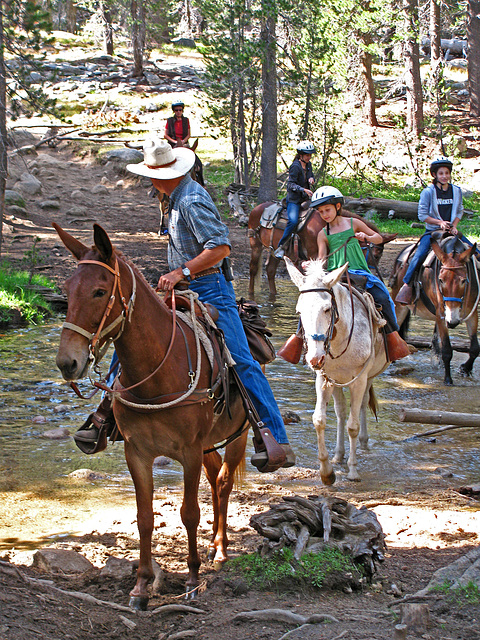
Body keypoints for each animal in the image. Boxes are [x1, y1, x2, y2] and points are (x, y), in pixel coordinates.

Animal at [54, 225, 249, 608]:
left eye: (100, 291)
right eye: (67, 291)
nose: (68, 362)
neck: (159, 370)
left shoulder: (188, 452)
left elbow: (189, 513)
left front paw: (192, 579)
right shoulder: (138, 452)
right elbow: (144, 517)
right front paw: (141, 586)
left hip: (238, 435)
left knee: (223, 482)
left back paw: (219, 550)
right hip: (208, 445)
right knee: (215, 475)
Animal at [248, 202, 398, 300]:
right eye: (376, 255)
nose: (373, 275)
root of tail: (256, 209)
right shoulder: (314, 255)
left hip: (274, 251)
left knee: (270, 270)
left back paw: (273, 295)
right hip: (255, 244)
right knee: (253, 269)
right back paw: (250, 294)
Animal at [284, 258, 390, 482]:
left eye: (326, 309)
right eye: (299, 311)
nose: (315, 358)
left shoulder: (359, 379)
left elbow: (353, 425)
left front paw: (353, 471)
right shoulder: (324, 379)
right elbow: (319, 420)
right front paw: (326, 471)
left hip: (366, 378)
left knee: (361, 407)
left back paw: (363, 444)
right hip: (338, 382)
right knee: (341, 412)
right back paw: (339, 455)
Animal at [390, 235, 480, 384]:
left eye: (463, 280)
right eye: (441, 280)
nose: (452, 322)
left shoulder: (472, 314)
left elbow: (474, 348)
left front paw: (465, 369)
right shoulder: (441, 315)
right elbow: (447, 350)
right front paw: (448, 379)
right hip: (399, 305)